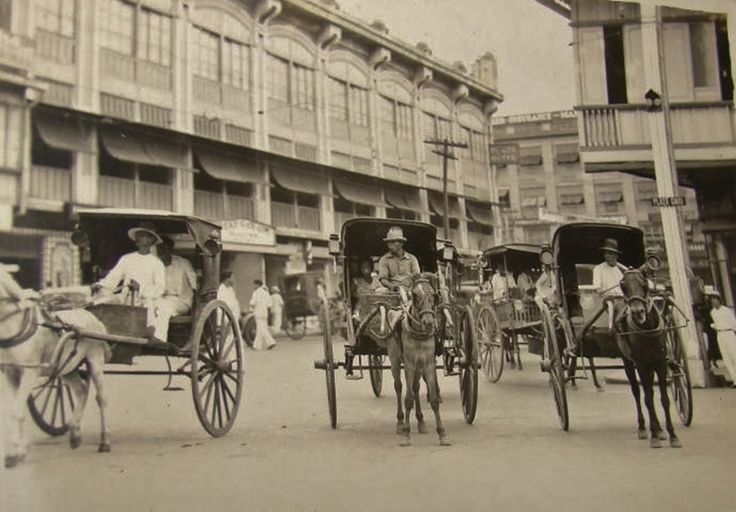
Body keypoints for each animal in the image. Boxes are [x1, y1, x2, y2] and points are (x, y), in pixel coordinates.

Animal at [0, 272, 112, 468]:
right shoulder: (10, 373)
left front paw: (13, 455)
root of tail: (90, 315)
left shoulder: (29, 372)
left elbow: (16, 412)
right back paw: (75, 435)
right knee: (81, 391)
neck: (16, 325)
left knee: (102, 398)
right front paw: (18, 451)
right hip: (66, 368)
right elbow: (16, 410)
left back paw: (104, 441)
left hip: (95, 361)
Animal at [620, 270, 680, 450]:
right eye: (623, 285)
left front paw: (672, 435)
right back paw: (643, 428)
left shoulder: (660, 362)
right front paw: (653, 436)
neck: (647, 329)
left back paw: (659, 429)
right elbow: (647, 399)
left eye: (645, 284)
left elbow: (664, 399)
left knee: (652, 393)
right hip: (628, 362)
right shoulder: (641, 364)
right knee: (638, 392)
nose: (637, 312)